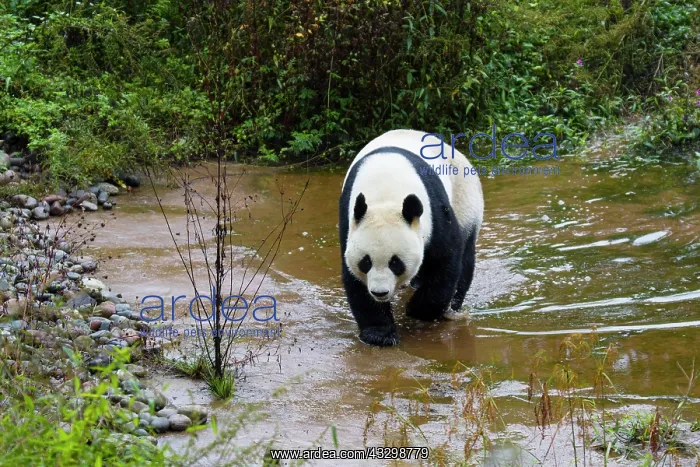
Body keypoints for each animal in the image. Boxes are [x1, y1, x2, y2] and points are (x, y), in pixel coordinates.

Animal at [338, 129, 484, 346]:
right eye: (366, 262)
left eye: (395, 263)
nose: (380, 293)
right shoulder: (349, 221)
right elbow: (354, 278)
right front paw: (380, 334)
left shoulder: (435, 212)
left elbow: (446, 259)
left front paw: (417, 310)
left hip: (465, 197)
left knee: (465, 255)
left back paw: (452, 307)